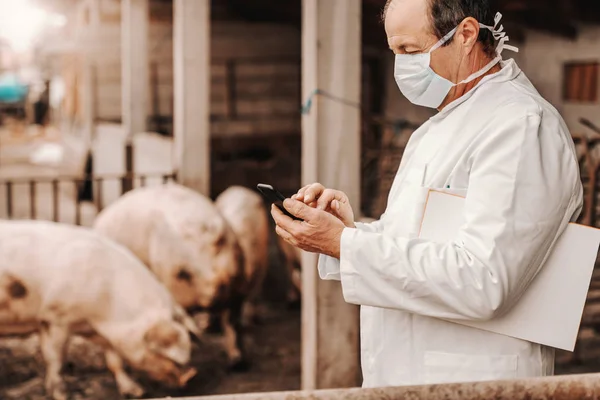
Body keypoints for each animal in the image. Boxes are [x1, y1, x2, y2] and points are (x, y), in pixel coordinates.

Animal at [0, 219, 202, 400]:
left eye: (189, 354)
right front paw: (61, 395)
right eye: (167, 355)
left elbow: (114, 361)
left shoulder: (101, 331)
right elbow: (55, 359)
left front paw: (136, 392)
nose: (191, 376)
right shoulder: (55, 317)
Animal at [91, 184, 248, 372]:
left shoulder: (237, 287)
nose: (217, 285)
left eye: (216, 252)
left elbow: (231, 322)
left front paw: (237, 362)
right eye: (184, 273)